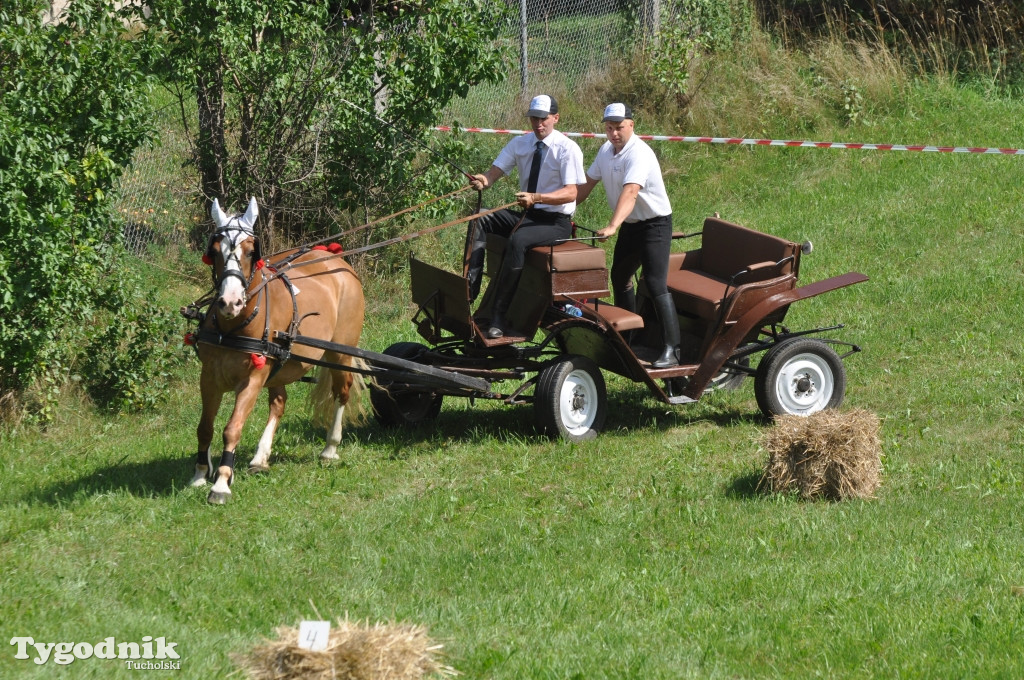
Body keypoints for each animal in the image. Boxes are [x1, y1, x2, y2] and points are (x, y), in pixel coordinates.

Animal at [192, 196, 368, 503]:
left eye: (251, 251)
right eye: (214, 251)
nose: (230, 302)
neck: (233, 327)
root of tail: (336, 259)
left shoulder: (252, 379)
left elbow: (232, 428)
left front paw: (222, 482)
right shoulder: (209, 377)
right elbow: (205, 427)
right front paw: (201, 473)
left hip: (340, 351)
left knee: (342, 392)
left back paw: (330, 448)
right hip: (280, 365)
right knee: (279, 402)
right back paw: (260, 458)